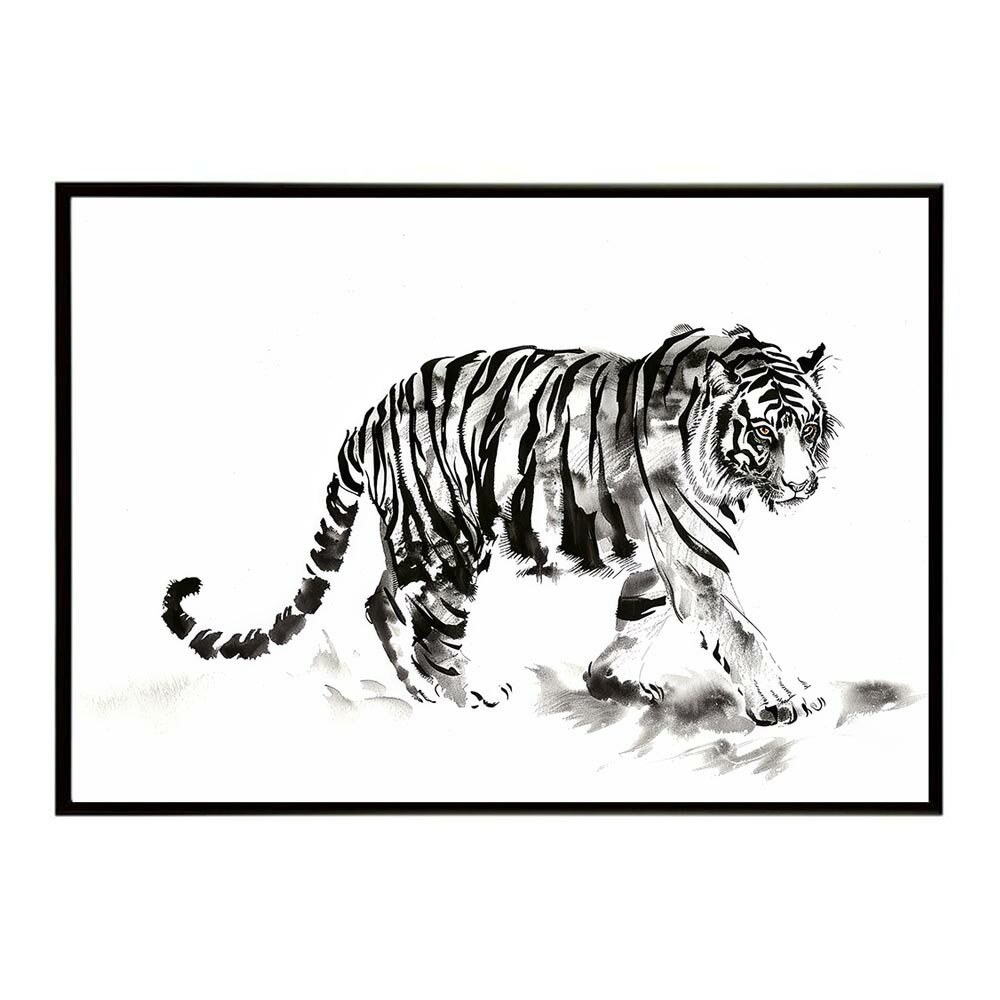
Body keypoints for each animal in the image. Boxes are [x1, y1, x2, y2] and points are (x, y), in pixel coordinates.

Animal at [162, 324, 837, 726]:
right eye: (763, 433)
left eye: (806, 428)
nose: (802, 484)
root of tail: (369, 415)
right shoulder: (694, 556)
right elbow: (742, 631)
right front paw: (790, 698)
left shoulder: (658, 556)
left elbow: (638, 620)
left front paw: (612, 683)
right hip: (450, 542)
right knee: (433, 627)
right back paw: (467, 692)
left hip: (408, 536)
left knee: (381, 603)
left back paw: (418, 690)